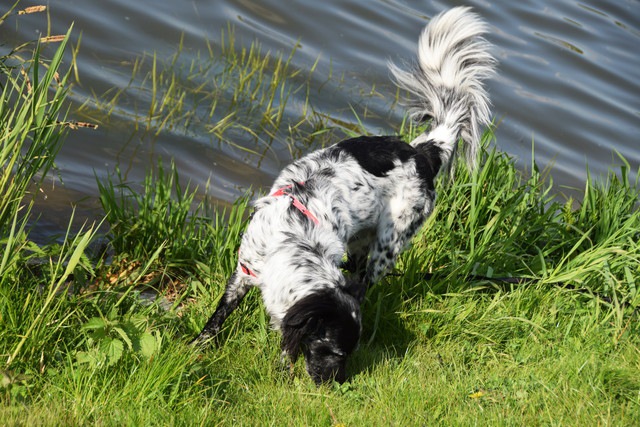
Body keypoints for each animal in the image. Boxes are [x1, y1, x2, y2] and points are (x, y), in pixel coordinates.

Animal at [192, 7, 498, 384]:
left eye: (348, 353)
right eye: (334, 351)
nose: (337, 383)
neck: (294, 238)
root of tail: (422, 151)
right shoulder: (245, 269)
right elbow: (221, 312)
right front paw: (199, 345)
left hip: (387, 245)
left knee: (366, 282)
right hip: (362, 244)